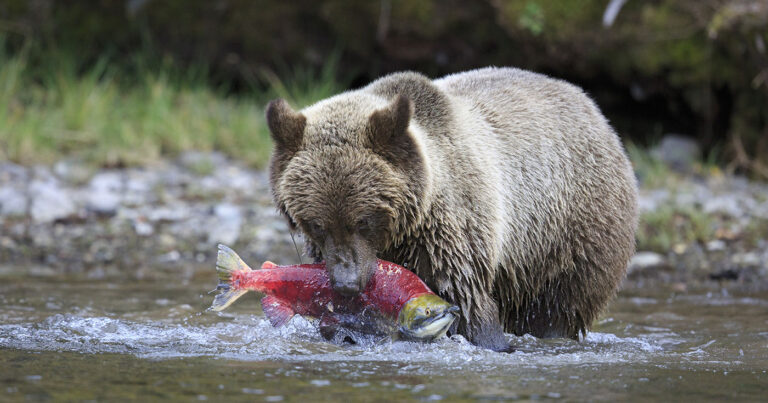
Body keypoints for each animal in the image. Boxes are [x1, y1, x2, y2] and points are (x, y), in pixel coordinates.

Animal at [266, 67, 638, 351]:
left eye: (364, 220)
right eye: (316, 223)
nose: (347, 282)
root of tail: (589, 104)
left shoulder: (450, 233)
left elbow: (466, 303)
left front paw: (490, 341)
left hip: (570, 232)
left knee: (558, 306)